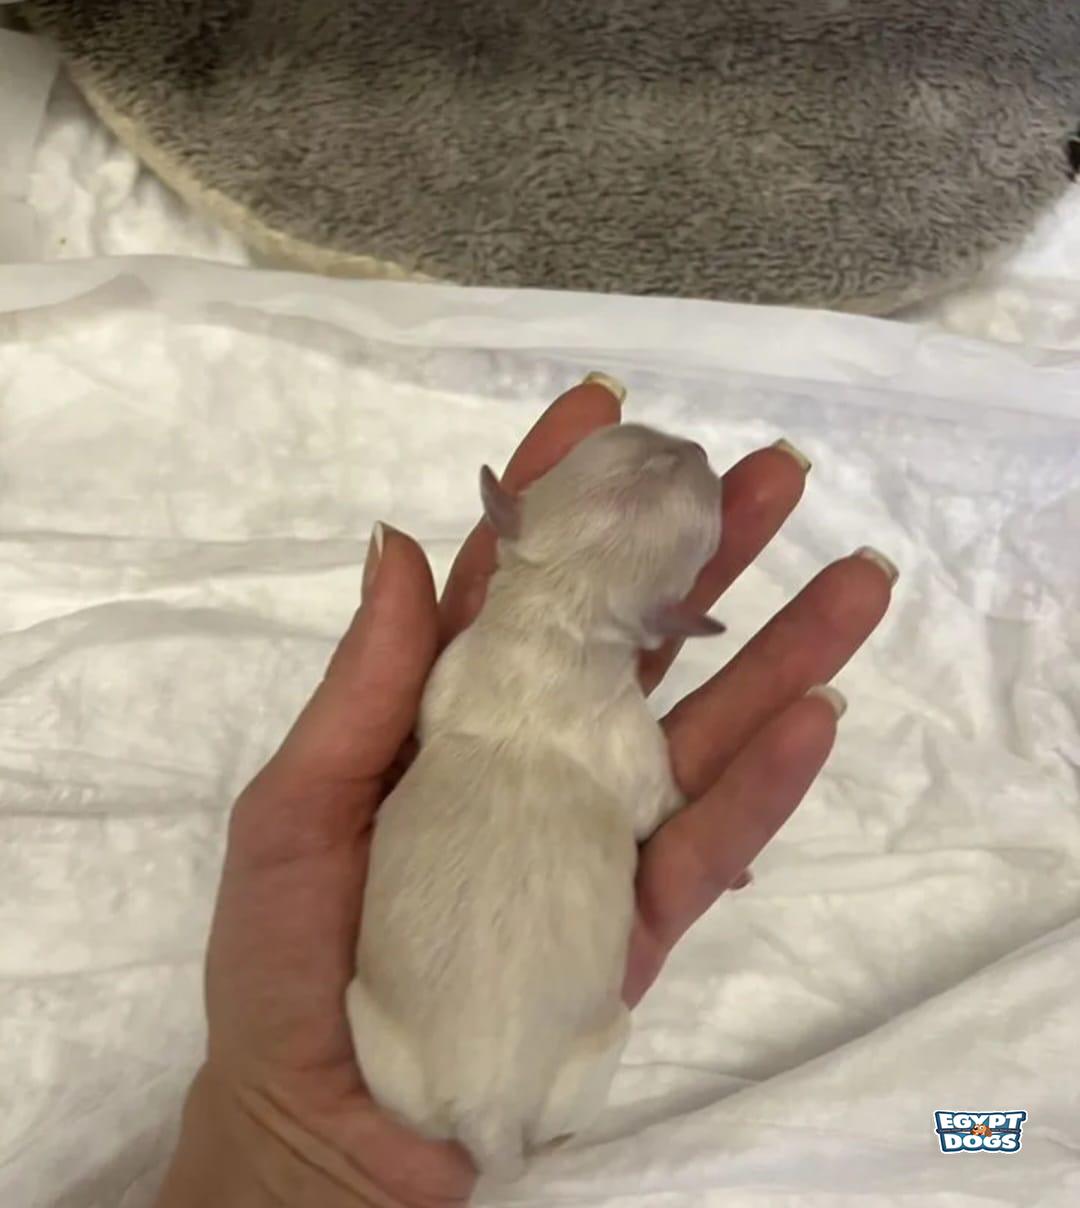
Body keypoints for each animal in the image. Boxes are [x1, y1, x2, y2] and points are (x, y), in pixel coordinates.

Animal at [346, 422, 726, 1181]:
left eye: (621, 433)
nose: (696, 445)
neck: (556, 620)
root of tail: (486, 1116)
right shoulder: (632, 741)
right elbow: (658, 804)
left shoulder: (448, 670)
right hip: (594, 1052)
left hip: (382, 1046)